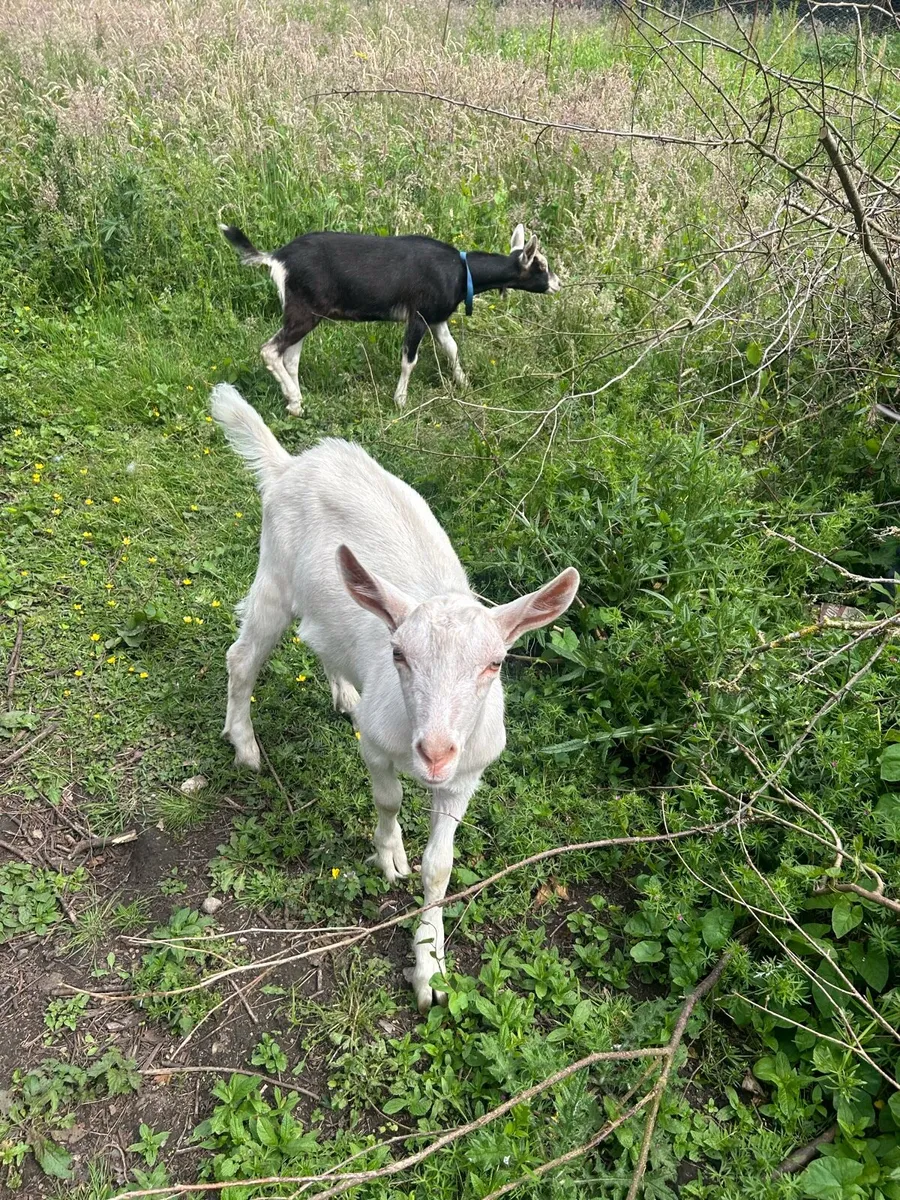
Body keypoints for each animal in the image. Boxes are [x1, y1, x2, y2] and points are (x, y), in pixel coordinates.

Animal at [211, 383, 579, 1012]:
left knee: (322, 638)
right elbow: (387, 801)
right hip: (274, 575)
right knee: (242, 658)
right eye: (400, 655)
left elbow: (442, 867)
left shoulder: (466, 775)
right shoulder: (378, 748)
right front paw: (389, 857)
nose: (433, 751)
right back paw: (246, 746)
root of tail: (293, 464)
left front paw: (429, 967)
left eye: (495, 664)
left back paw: (343, 691)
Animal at [219, 223, 560, 414]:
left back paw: (296, 402)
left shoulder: (437, 317)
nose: (557, 283)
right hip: (303, 312)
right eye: (541, 266)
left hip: (305, 312)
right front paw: (400, 401)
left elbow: (451, 348)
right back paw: (293, 398)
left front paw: (463, 383)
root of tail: (276, 258)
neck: (461, 272)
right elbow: (409, 359)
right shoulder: (418, 315)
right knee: (270, 350)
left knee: (290, 357)